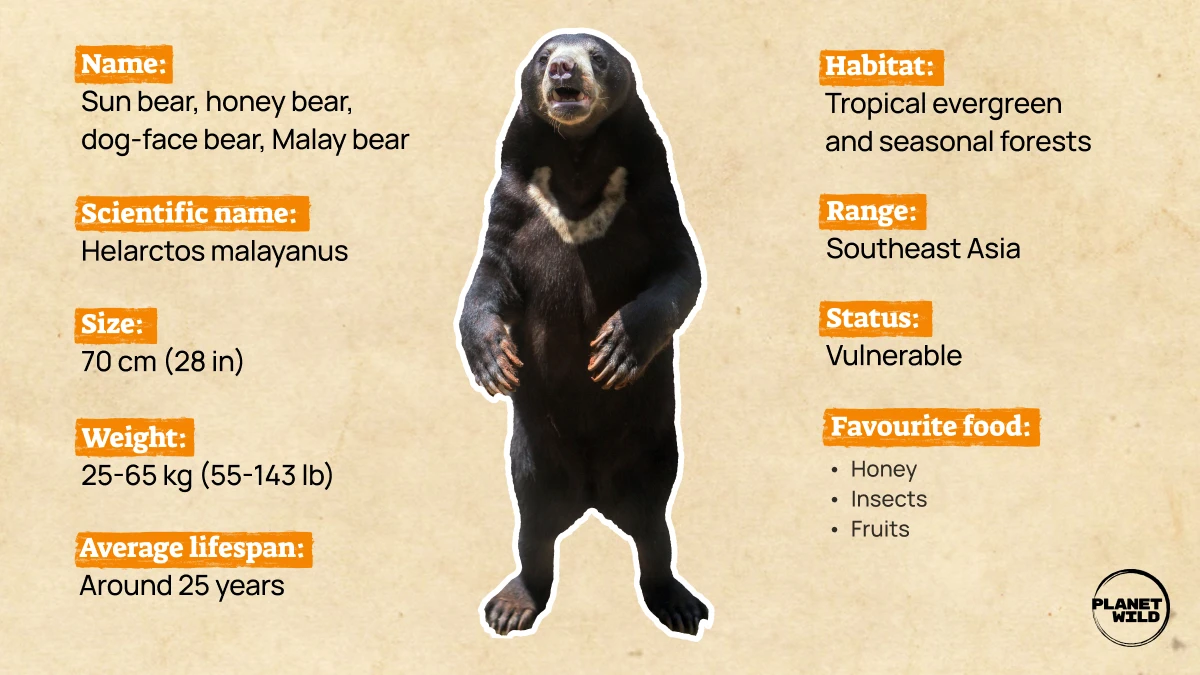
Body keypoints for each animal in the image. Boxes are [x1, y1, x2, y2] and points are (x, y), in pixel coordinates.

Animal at [457, 30, 711, 638]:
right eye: (545, 58)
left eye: (597, 57)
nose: (564, 71)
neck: (575, 163)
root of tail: (593, 499)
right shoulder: (516, 201)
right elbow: (489, 277)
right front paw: (493, 362)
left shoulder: (650, 190)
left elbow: (680, 270)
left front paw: (616, 351)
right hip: (532, 456)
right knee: (533, 528)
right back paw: (511, 605)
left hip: (652, 452)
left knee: (654, 530)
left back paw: (677, 604)